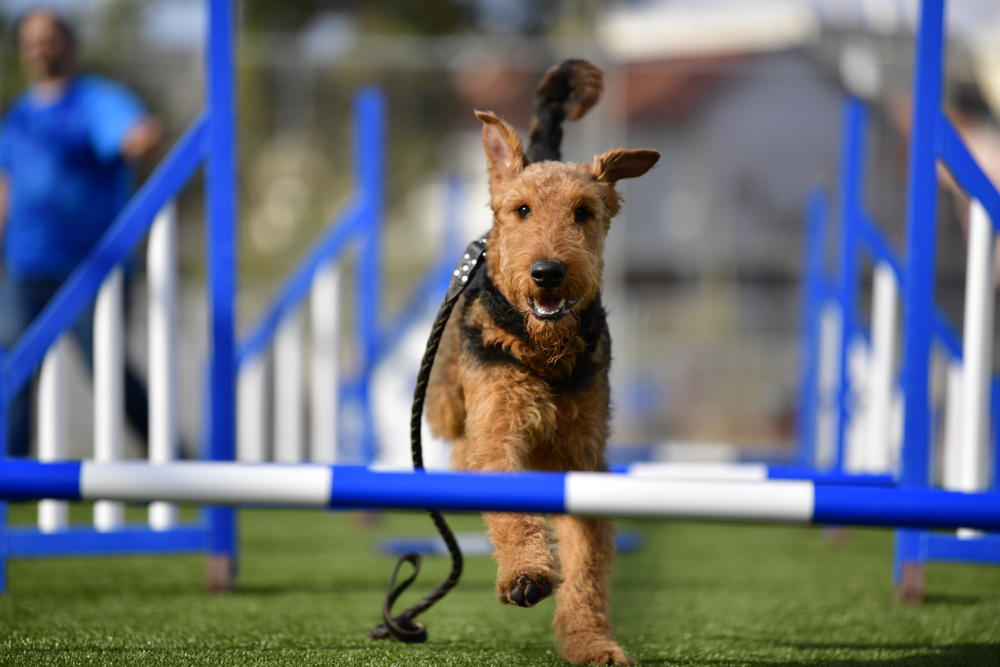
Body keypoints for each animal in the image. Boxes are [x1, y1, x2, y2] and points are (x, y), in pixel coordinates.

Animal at [426, 60, 660, 664]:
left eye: (583, 213)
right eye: (523, 210)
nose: (548, 272)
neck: (545, 352)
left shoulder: (581, 460)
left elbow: (586, 566)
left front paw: (591, 641)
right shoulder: (498, 431)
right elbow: (509, 505)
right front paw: (527, 575)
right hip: (449, 399)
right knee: (453, 435)